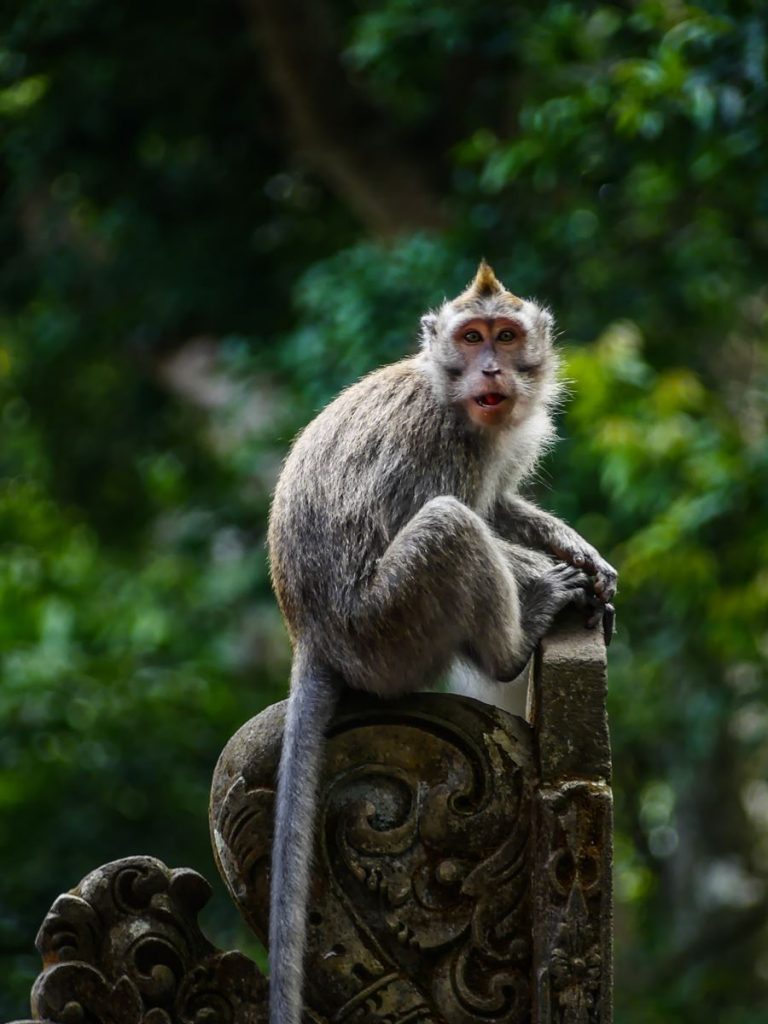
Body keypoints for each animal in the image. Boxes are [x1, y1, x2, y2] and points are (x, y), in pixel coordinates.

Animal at [266, 261, 617, 1024]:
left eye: (506, 336)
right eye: (471, 337)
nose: (491, 367)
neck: (457, 401)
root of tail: (311, 632)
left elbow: (500, 505)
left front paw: (582, 553)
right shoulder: (440, 443)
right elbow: (467, 512)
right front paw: (563, 583)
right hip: (388, 625)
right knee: (450, 524)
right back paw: (520, 635)